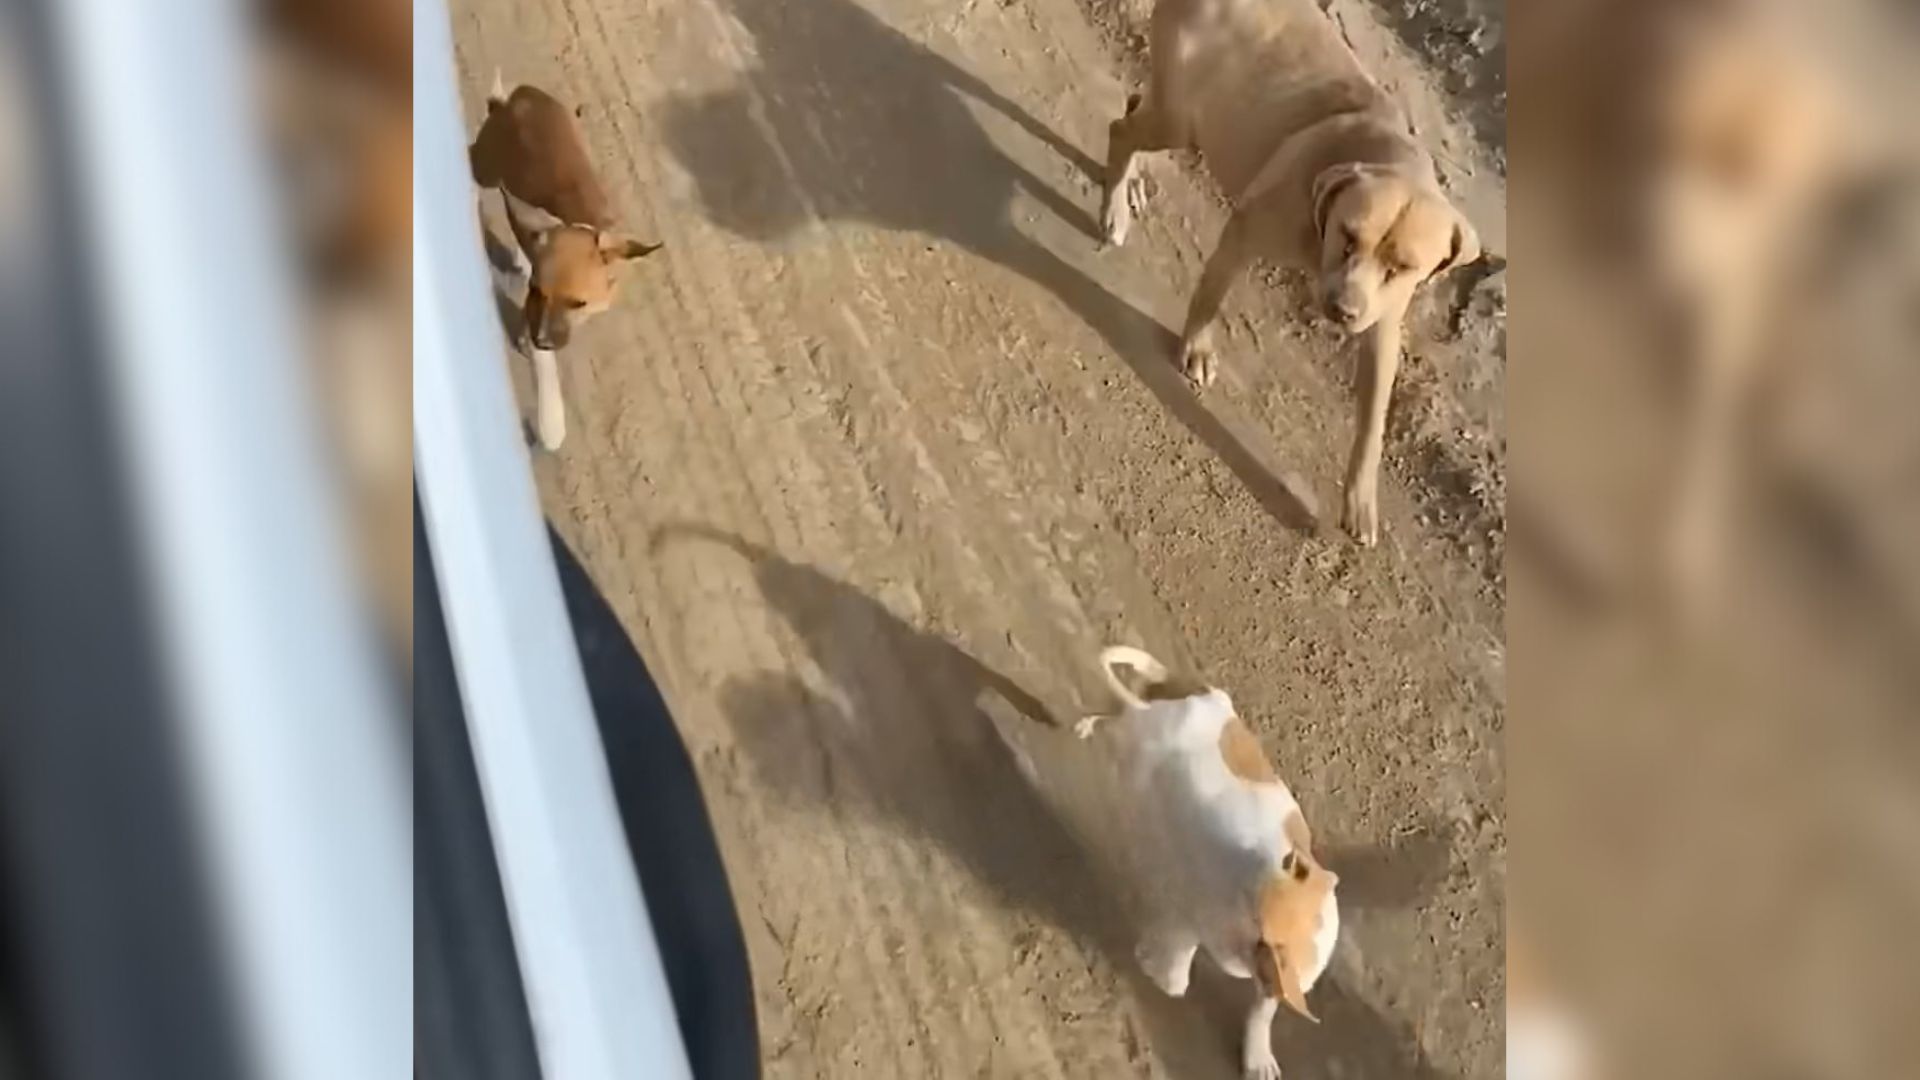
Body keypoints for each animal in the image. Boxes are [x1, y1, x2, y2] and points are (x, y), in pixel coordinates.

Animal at [468, 72, 664, 449]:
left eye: (577, 302)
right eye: (537, 291)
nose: (541, 340)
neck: (577, 224)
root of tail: (516, 99)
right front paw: (551, 423)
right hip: (484, 165)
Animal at [1075, 645, 1344, 1076]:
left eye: (1260, 937)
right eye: (1250, 901)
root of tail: (1195, 692)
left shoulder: (1275, 980)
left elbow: (1261, 1013)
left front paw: (1257, 1058)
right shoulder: (1193, 910)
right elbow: (1176, 964)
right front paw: (1157, 966)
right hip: (1136, 735)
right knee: (1113, 723)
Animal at [1098, 0, 1482, 541]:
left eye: (1401, 267)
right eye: (1348, 235)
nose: (1342, 310)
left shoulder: (1383, 325)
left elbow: (1373, 421)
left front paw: (1361, 500)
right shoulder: (1246, 231)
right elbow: (1210, 295)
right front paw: (1197, 347)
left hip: (1179, 110)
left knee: (1133, 106)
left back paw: (1129, 185)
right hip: (1180, 117)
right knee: (1123, 129)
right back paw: (1114, 204)